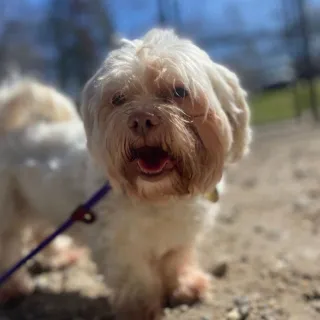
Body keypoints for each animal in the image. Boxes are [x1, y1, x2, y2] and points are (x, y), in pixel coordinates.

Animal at [0, 28, 250, 320]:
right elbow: (136, 278)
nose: (141, 119)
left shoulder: (180, 237)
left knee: (41, 232)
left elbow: (176, 261)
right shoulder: (119, 246)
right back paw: (13, 288)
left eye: (179, 90)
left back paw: (60, 257)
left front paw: (185, 287)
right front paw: (141, 308)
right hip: (7, 213)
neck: (160, 196)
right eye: (118, 98)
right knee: (7, 248)